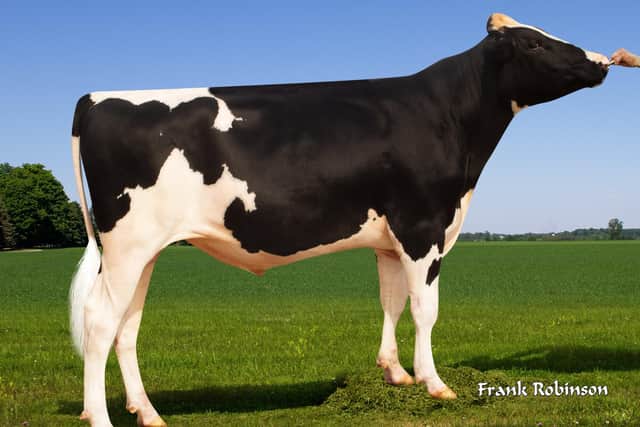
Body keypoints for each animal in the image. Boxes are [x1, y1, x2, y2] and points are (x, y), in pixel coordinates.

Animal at [69, 13, 609, 426]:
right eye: (534, 42)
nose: (601, 62)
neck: (448, 117)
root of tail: (93, 98)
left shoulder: (391, 238)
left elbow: (391, 302)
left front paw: (395, 374)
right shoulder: (423, 226)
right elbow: (425, 309)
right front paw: (435, 384)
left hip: (145, 250)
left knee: (127, 327)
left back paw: (147, 412)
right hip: (127, 243)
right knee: (99, 320)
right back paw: (100, 417)